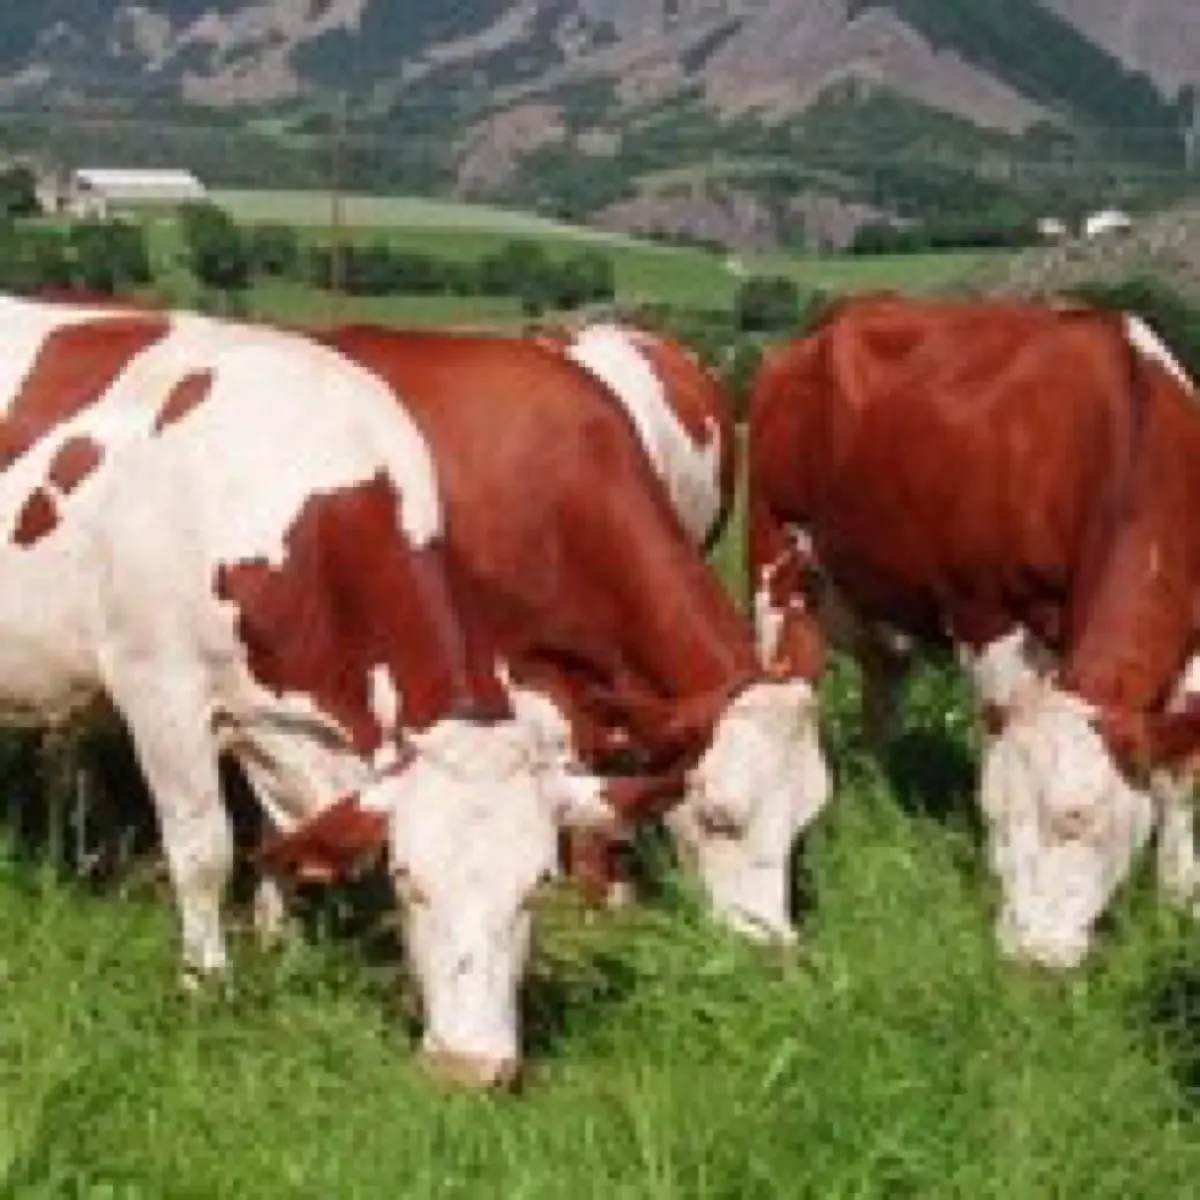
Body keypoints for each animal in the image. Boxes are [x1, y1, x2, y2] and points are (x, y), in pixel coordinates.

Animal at [0, 294, 628, 1089]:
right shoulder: (161, 691)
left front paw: (281, 943)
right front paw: (206, 982)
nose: (468, 1067)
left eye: (538, 884)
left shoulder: (277, 722)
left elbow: (283, 838)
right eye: (407, 877)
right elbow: (205, 850)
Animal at [748, 293, 1200, 969]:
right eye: (1002, 814)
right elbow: (995, 745)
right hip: (773, 556)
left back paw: (877, 798)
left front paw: (1179, 900)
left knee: (882, 694)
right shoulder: (987, 614)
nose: (1031, 960)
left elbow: (1179, 774)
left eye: (1077, 819)